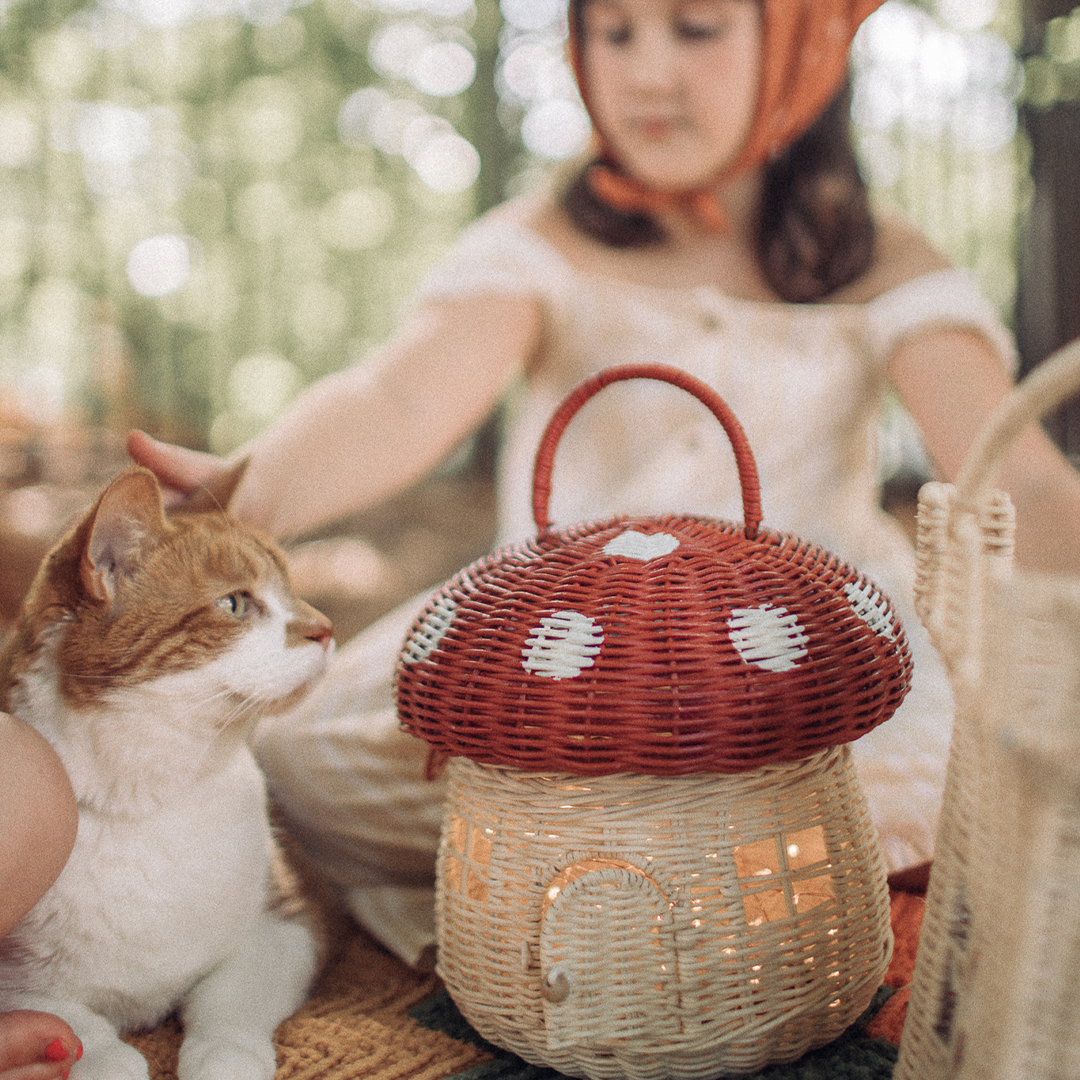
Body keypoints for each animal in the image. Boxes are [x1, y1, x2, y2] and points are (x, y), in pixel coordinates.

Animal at [0, 468, 332, 1080]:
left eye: (292, 588)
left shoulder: (290, 921)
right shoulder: (16, 983)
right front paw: (104, 1060)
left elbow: (228, 999)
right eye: (234, 603)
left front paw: (225, 1057)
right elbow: (70, 1024)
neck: (152, 801)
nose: (326, 628)